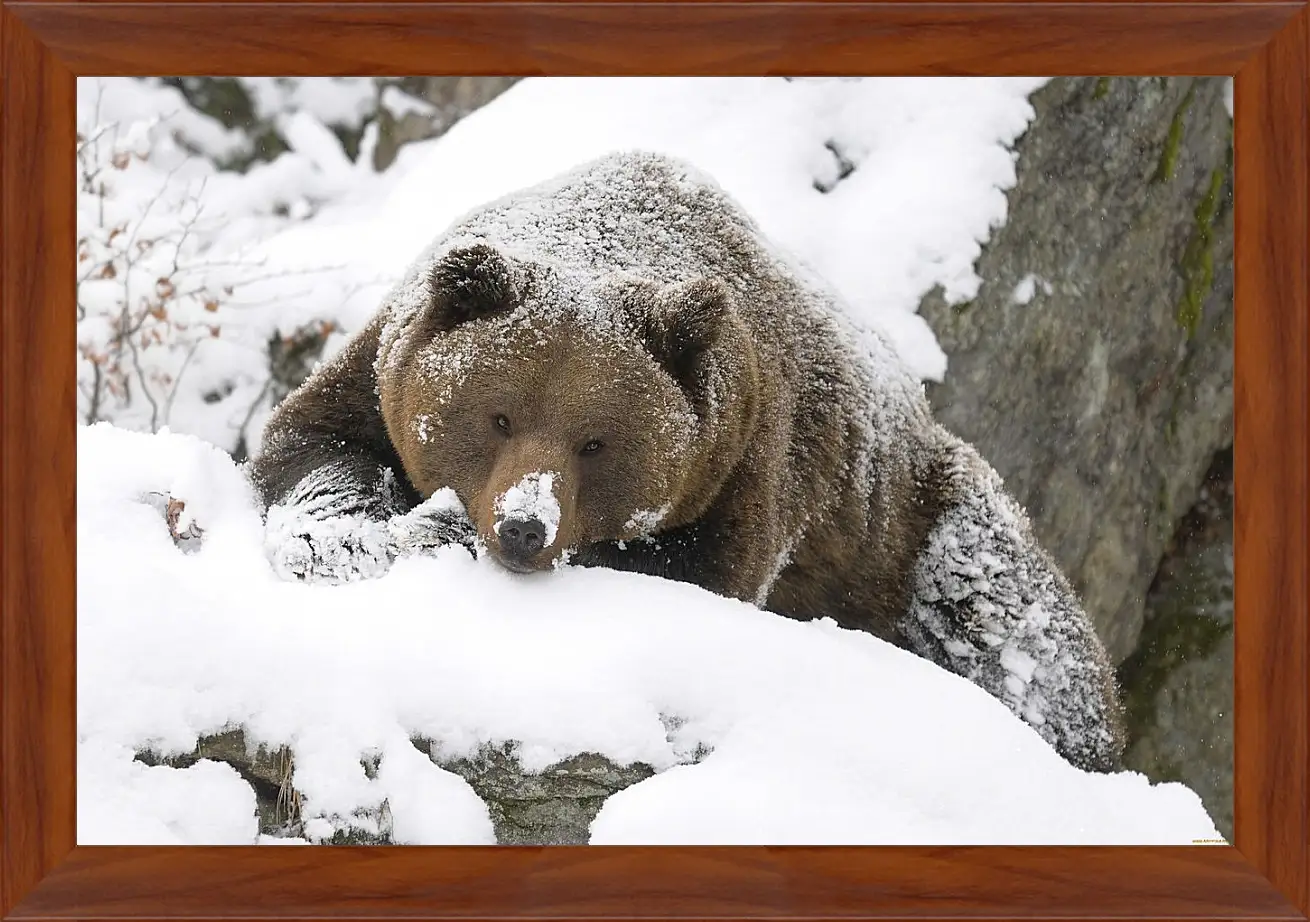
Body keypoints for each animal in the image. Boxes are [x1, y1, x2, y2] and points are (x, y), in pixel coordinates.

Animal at [247, 149, 1126, 770]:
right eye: (498, 416)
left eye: (595, 441)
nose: (526, 527)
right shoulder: (378, 368)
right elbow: (313, 446)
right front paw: (344, 536)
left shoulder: (747, 463)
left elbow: (691, 570)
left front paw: (437, 531)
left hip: (915, 528)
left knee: (1016, 630)